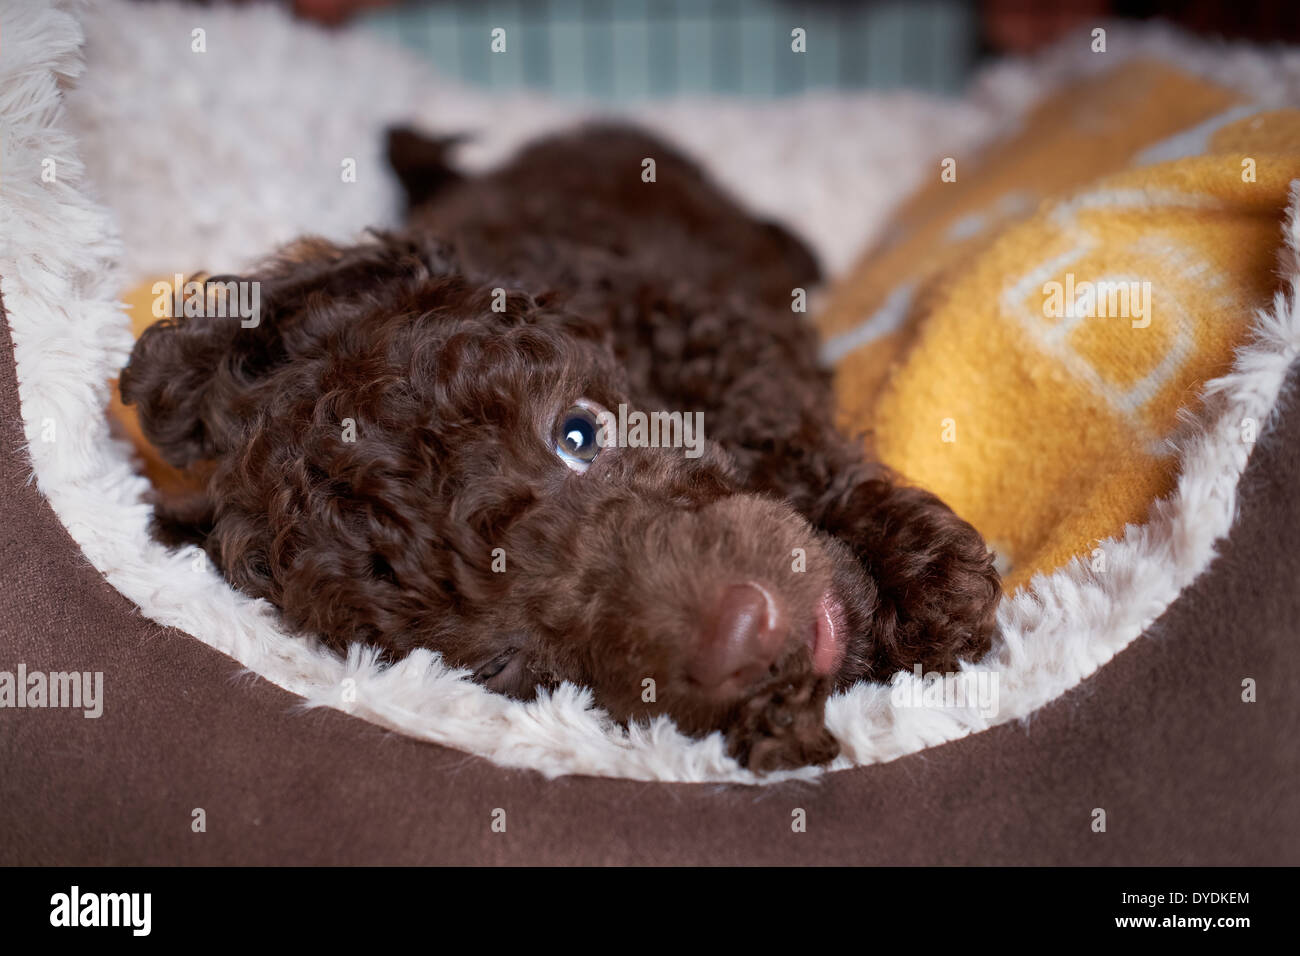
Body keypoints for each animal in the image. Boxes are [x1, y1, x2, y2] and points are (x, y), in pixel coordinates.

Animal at [122, 127, 998, 770]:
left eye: (579, 433)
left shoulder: (720, 341)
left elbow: (788, 437)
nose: (744, 637)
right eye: (504, 667)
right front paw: (778, 721)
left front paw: (924, 579)